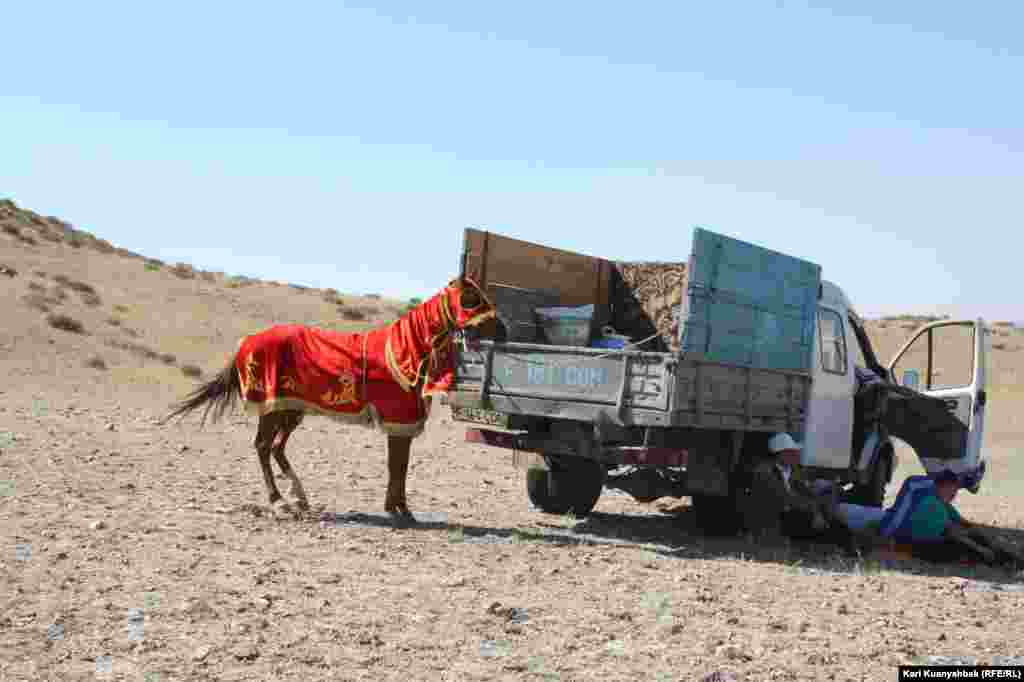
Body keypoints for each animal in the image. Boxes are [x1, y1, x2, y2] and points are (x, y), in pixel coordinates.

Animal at [160, 276, 495, 520]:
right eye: (471, 297)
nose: (500, 326)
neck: (405, 352)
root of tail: (247, 343)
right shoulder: (397, 421)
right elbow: (397, 466)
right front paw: (399, 510)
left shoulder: (402, 425)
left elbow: (400, 465)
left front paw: (399, 508)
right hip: (272, 408)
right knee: (264, 446)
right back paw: (280, 501)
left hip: (290, 409)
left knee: (277, 448)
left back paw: (300, 498)